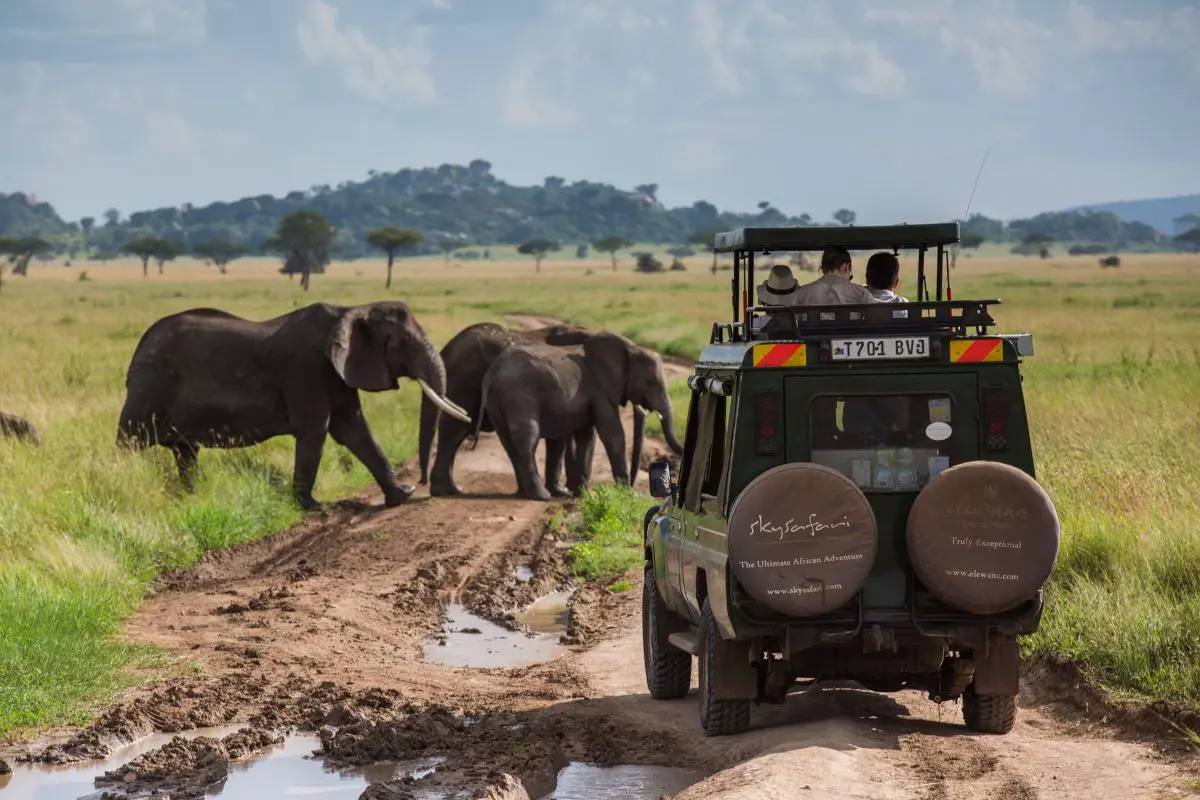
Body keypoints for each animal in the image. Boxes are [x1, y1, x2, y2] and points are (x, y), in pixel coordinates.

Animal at [112, 299, 468, 513]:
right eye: (403, 342)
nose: (420, 484)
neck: (352, 310)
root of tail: (139, 347)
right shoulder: (308, 369)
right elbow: (316, 432)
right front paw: (312, 507)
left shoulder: (339, 372)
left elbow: (355, 430)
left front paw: (400, 496)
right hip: (150, 387)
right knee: (131, 442)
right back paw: (124, 480)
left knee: (185, 451)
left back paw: (190, 499)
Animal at [470, 331, 681, 501]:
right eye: (649, 382)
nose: (633, 486)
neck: (630, 348)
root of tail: (491, 373)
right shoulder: (600, 390)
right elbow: (612, 434)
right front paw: (624, 494)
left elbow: (586, 436)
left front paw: (583, 494)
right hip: (519, 396)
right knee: (527, 440)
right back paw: (541, 496)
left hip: (497, 402)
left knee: (509, 444)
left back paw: (527, 494)